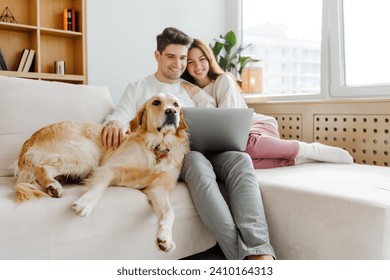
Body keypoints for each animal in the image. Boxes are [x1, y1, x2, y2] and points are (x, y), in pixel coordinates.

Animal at [12, 93, 189, 253]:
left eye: (176, 104)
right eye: (156, 102)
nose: (171, 112)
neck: (158, 146)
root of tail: (32, 137)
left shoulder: (158, 188)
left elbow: (169, 211)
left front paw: (165, 238)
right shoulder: (108, 168)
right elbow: (100, 187)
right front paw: (85, 203)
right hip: (86, 154)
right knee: (41, 167)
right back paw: (52, 185)